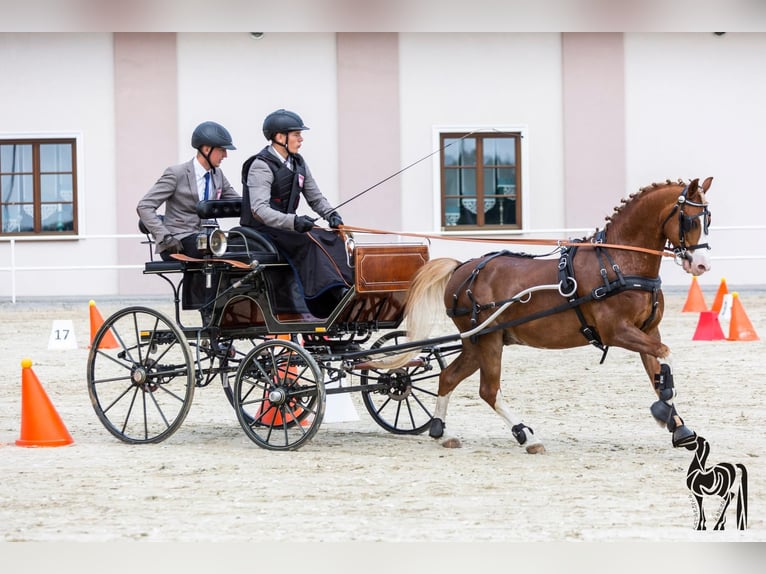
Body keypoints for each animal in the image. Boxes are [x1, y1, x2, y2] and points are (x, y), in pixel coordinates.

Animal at [400, 179, 716, 454]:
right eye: (690, 221)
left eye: (708, 220)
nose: (701, 265)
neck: (618, 262)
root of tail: (461, 267)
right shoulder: (618, 331)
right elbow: (666, 358)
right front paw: (665, 410)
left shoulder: (648, 331)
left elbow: (657, 372)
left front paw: (678, 426)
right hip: (487, 340)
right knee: (488, 390)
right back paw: (526, 436)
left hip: (478, 341)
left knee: (448, 376)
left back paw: (441, 431)